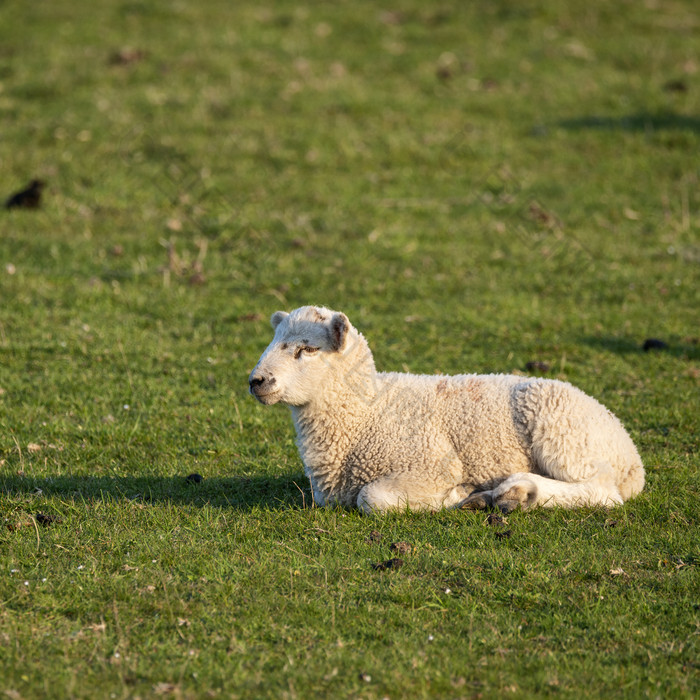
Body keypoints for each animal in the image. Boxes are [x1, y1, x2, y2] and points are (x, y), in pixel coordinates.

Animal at [250, 306, 644, 516]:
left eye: (307, 349)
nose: (257, 380)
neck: (367, 412)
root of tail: (631, 456)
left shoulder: (432, 466)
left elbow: (372, 498)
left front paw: (456, 495)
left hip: (563, 434)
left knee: (601, 492)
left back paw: (514, 492)